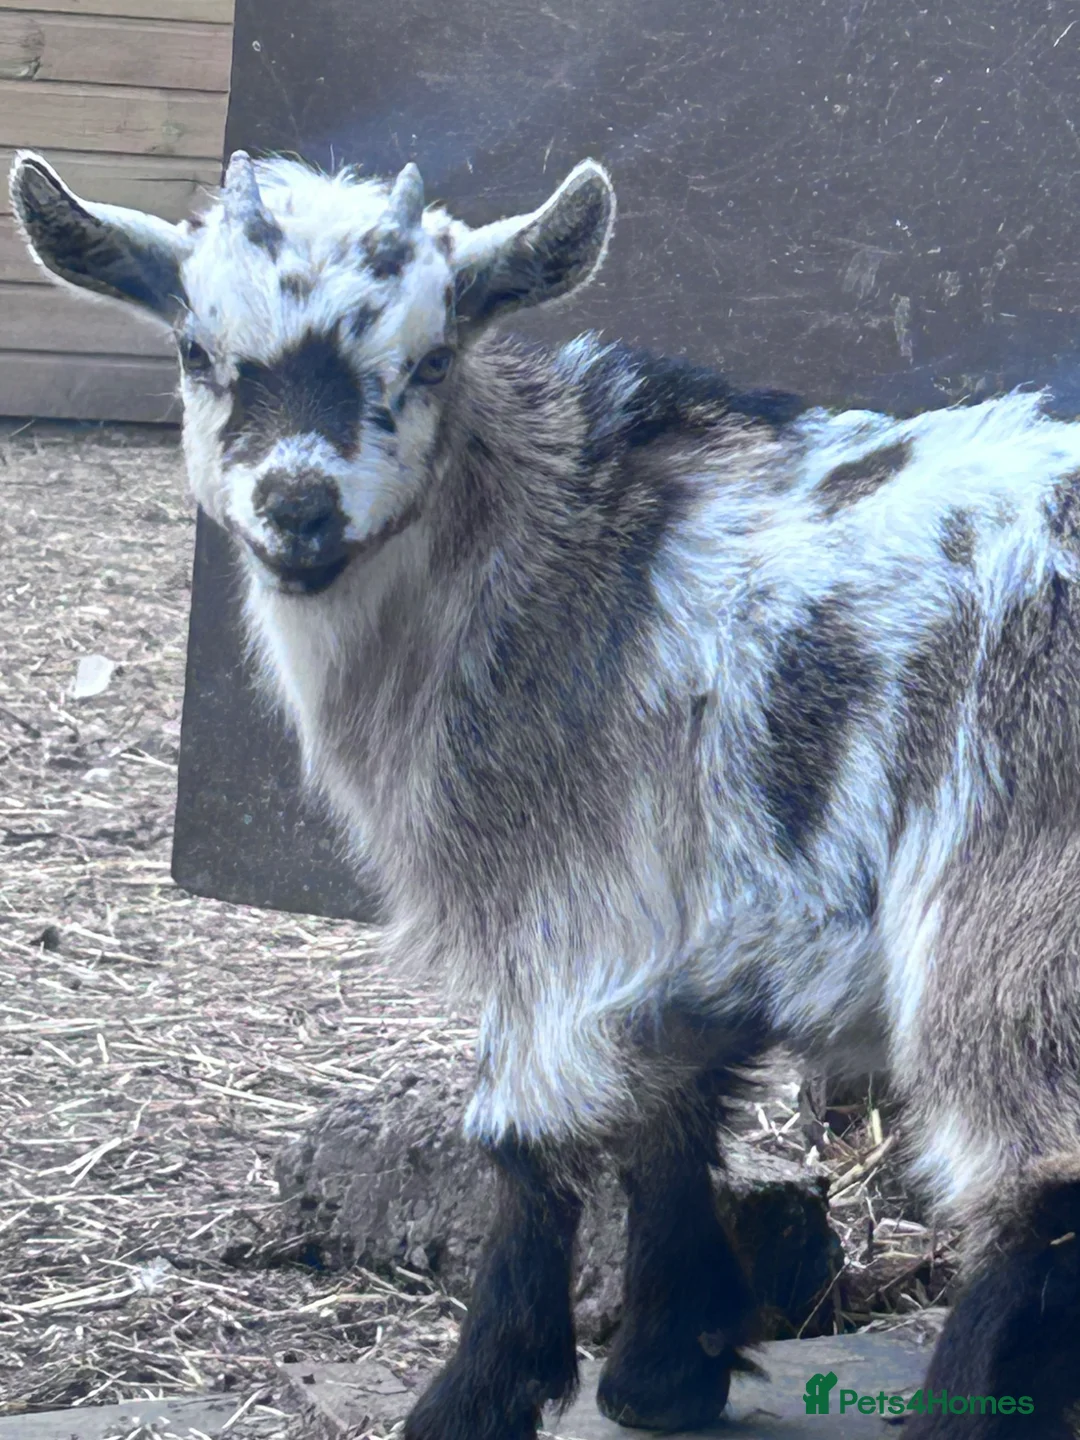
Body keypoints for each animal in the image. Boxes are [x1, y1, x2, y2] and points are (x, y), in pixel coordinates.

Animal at [11, 145, 1080, 1439]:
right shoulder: (689, 915)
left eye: (431, 358)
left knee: (1039, 1180)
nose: (300, 507)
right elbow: (672, 1111)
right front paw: (666, 1368)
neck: (554, 552)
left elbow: (526, 1142)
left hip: (1011, 887)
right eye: (195, 350)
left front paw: (478, 1393)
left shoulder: (562, 886)